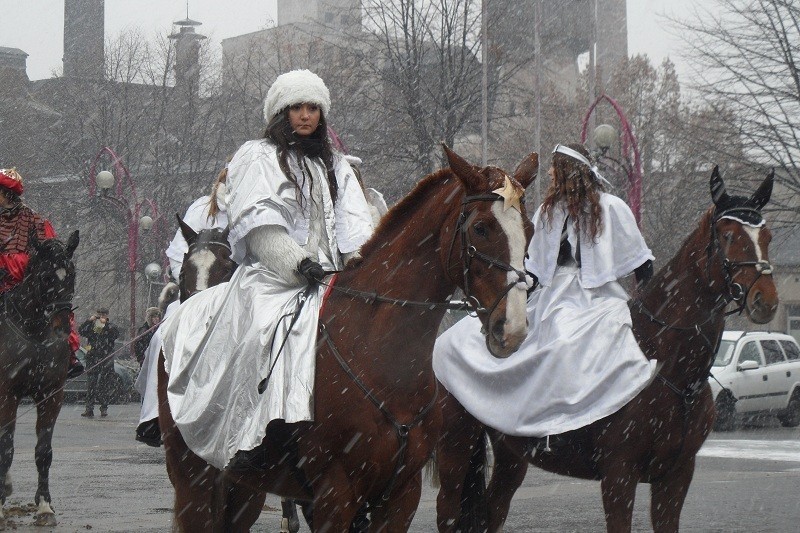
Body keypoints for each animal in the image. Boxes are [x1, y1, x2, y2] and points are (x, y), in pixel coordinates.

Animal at [0, 231, 80, 524]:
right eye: (45, 277)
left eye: (72, 275)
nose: (63, 328)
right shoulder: (7, 394)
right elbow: (7, 448)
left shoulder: (51, 394)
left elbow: (43, 451)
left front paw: (45, 505)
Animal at [158, 143, 536, 528]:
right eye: (480, 228)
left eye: (530, 229)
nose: (512, 327)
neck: (379, 356)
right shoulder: (335, 494)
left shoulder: (401, 494)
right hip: (193, 480)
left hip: (245, 491)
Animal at [434, 166, 780, 532]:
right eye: (727, 235)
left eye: (767, 236)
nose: (766, 300)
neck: (670, 369)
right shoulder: (619, 475)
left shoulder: (676, 475)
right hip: (455, 449)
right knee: (449, 511)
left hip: (510, 455)